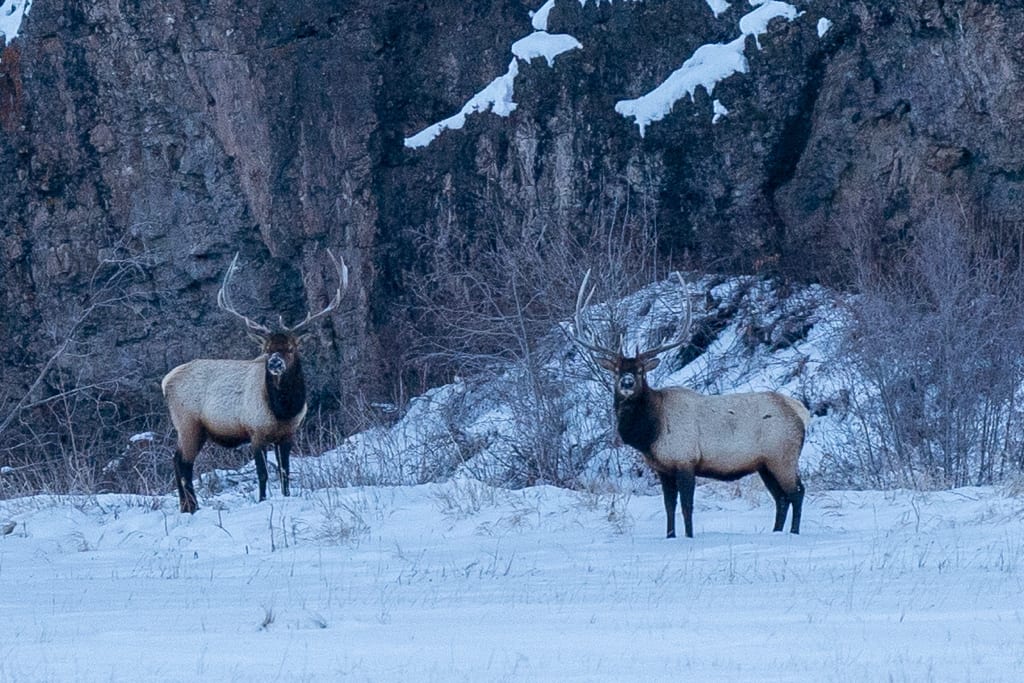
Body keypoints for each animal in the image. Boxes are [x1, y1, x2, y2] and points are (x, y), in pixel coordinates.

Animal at [161, 250, 348, 513]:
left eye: (291, 348)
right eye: (266, 349)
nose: (274, 364)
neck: (282, 411)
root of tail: (166, 381)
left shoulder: (288, 434)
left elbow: (285, 472)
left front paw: (286, 496)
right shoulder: (255, 431)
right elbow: (262, 474)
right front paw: (262, 500)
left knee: (178, 460)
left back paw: (187, 506)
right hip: (188, 423)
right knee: (182, 462)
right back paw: (191, 507)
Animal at [571, 271, 809, 538]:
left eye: (641, 370)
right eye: (616, 370)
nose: (627, 382)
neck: (650, 432)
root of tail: (800, 412)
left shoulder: (685, 459)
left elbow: (686, 505)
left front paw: (689, 536)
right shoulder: (663, 468)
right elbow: (669, 505)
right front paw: (670, 535)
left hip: (782, 455)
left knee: (797, 492)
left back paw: (794, 533)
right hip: (765, 463)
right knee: (781, 498)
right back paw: (776, 532)